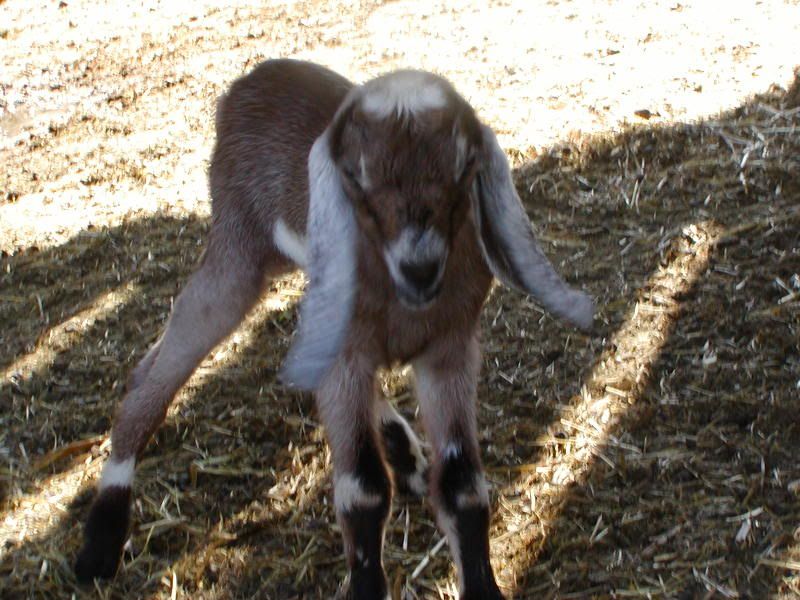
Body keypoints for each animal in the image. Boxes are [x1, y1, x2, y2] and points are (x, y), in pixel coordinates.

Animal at [75, 59, 594, 599]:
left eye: (464, 165)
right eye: (356, 176)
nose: (420, 268)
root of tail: (248, 82)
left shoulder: (449, 350)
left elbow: (462, 486)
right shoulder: (351, 354)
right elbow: (362, 490)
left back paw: (405, 455)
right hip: (239, 249)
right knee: (159, 369)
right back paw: (100, 542)